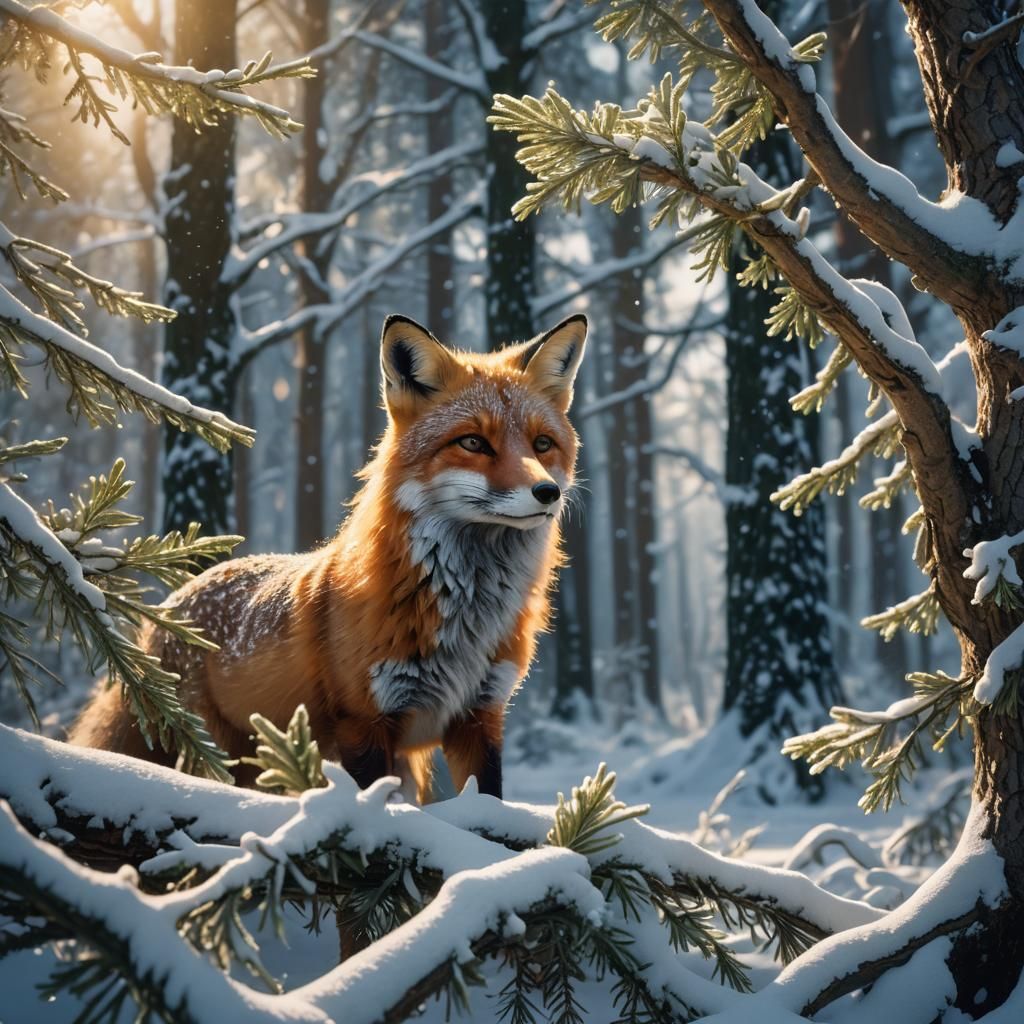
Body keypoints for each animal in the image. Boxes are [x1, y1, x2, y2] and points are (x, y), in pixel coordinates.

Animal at [69, 312, 587, 802]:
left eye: (542, 444)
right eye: (474, 442)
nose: (548, 492)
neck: (464, 617)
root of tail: (172, 602)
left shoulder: (479, 718)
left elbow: (481, 809)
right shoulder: (362, 723)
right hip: (214, 751)